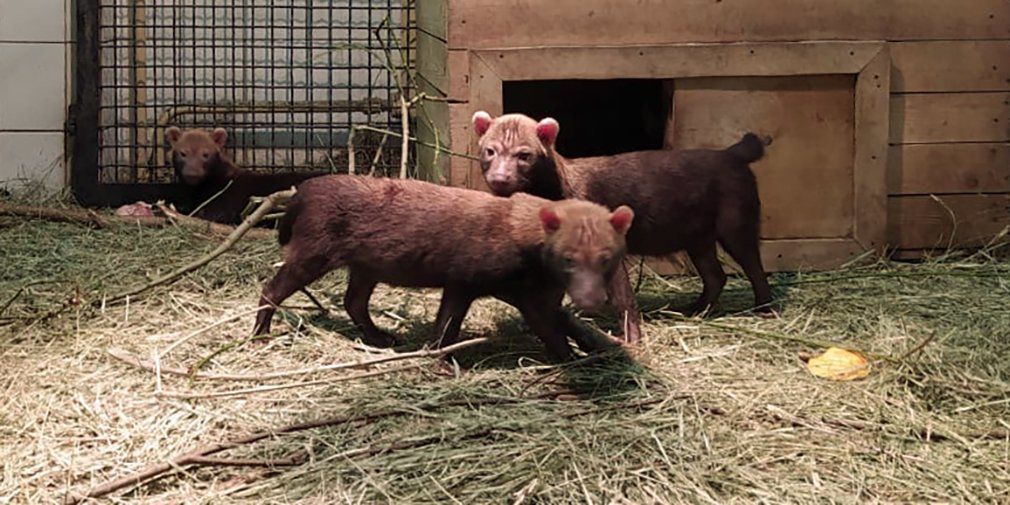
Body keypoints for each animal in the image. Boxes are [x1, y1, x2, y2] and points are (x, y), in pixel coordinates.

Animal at [252, 175, 630, 361]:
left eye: (607, 256)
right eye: (568, 257)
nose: (593, 299)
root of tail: (302, 190)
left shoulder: (533, 296)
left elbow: (560, 326)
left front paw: (591, 350)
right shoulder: (465, 279)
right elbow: (448, 325)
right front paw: (437, 357)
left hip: (365, 265)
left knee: (354, 302)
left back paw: (382, 337)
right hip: (313, 253)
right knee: (271, 288)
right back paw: (260, 336)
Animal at [472, 112, 771, 343]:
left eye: (524, 154)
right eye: (490, 150)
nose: (500, 178)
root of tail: (731, 153)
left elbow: (623, 297)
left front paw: (631, 339)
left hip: (736, 224)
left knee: (755, 268)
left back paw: (765, 308)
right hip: (698, 238)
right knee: (715, 276)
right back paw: (694, 310)